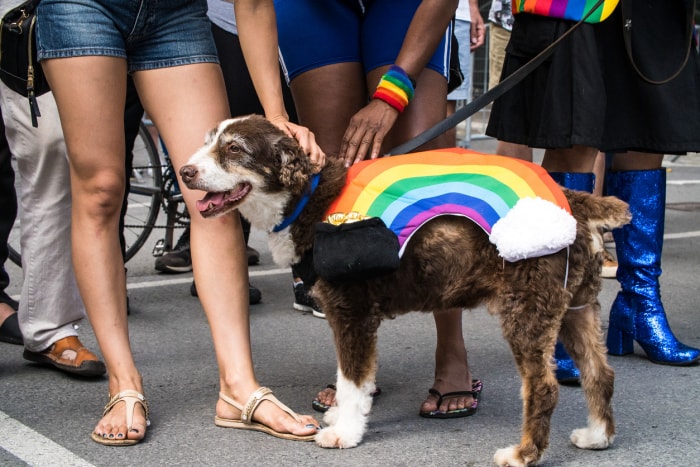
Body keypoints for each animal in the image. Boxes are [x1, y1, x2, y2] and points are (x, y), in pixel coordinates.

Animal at [179, 114, 628, 467]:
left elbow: (352, 381)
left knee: (544, 388)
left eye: (234, 149)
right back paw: (598, 437)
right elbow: (352, 382)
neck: (310, 199)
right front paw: (341, 417)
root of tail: (574, 201)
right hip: (575, 307)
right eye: (208, 141)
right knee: (600, 372)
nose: (185, 171)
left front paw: (344, 432)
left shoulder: (351, 311)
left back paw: (523, 454)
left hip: (528, 309)